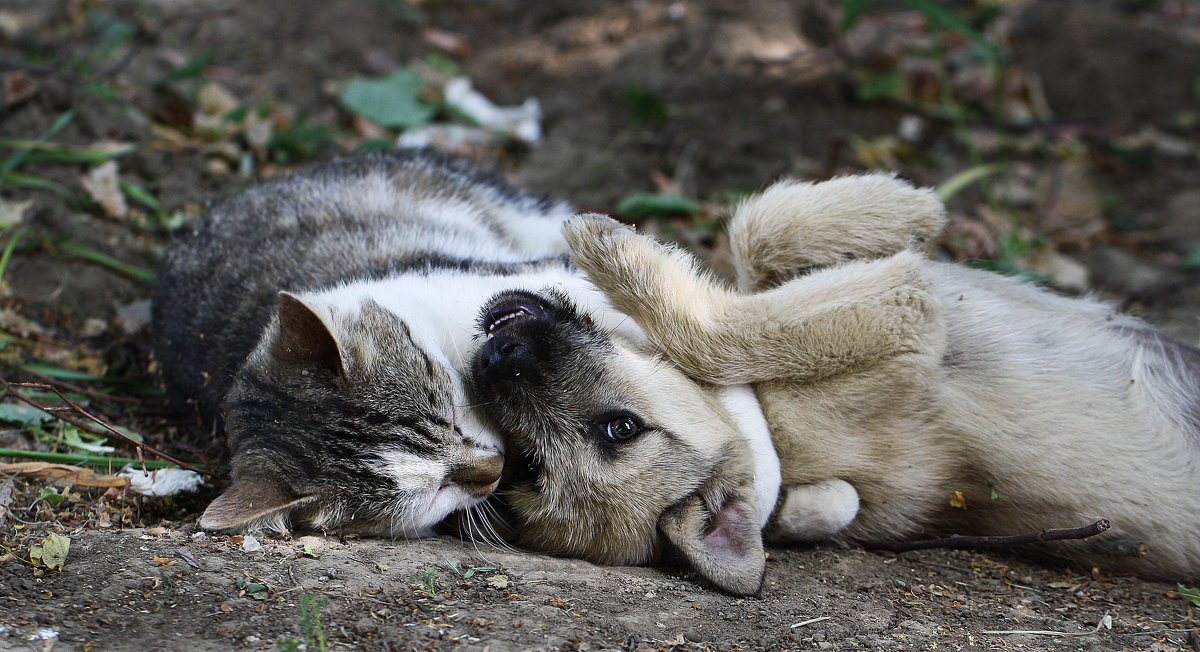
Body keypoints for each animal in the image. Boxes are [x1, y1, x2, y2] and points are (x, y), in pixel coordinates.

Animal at [468, 172, 1200, 597]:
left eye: (620, 429)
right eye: (531, 464)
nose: (499, 356)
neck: (774, 440)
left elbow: (755, 237)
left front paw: (900, 206)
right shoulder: (908, 318)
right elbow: (725, 329)